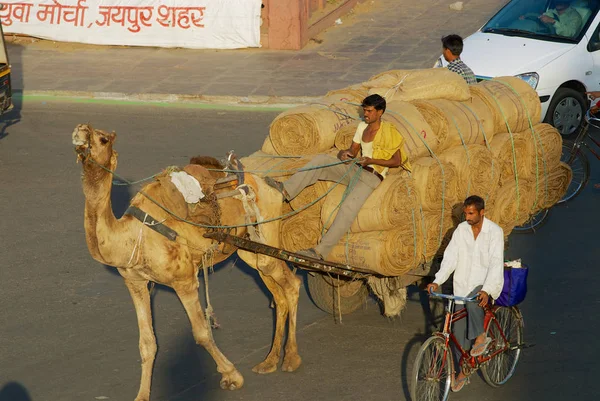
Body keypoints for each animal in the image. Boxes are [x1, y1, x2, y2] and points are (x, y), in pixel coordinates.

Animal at [72, 123, 302, 398]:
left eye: (103, 139)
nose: (80, 131)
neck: (134, 234)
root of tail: (272, 183)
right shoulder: (135, 282)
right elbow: (147, 343)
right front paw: (141, 395)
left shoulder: (184, 280)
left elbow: (201, 333)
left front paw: (232, 376)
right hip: (249, 247)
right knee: (275, 288)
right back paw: (269, 361)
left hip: (267, 226)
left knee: (291, 284)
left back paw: (291, 358)